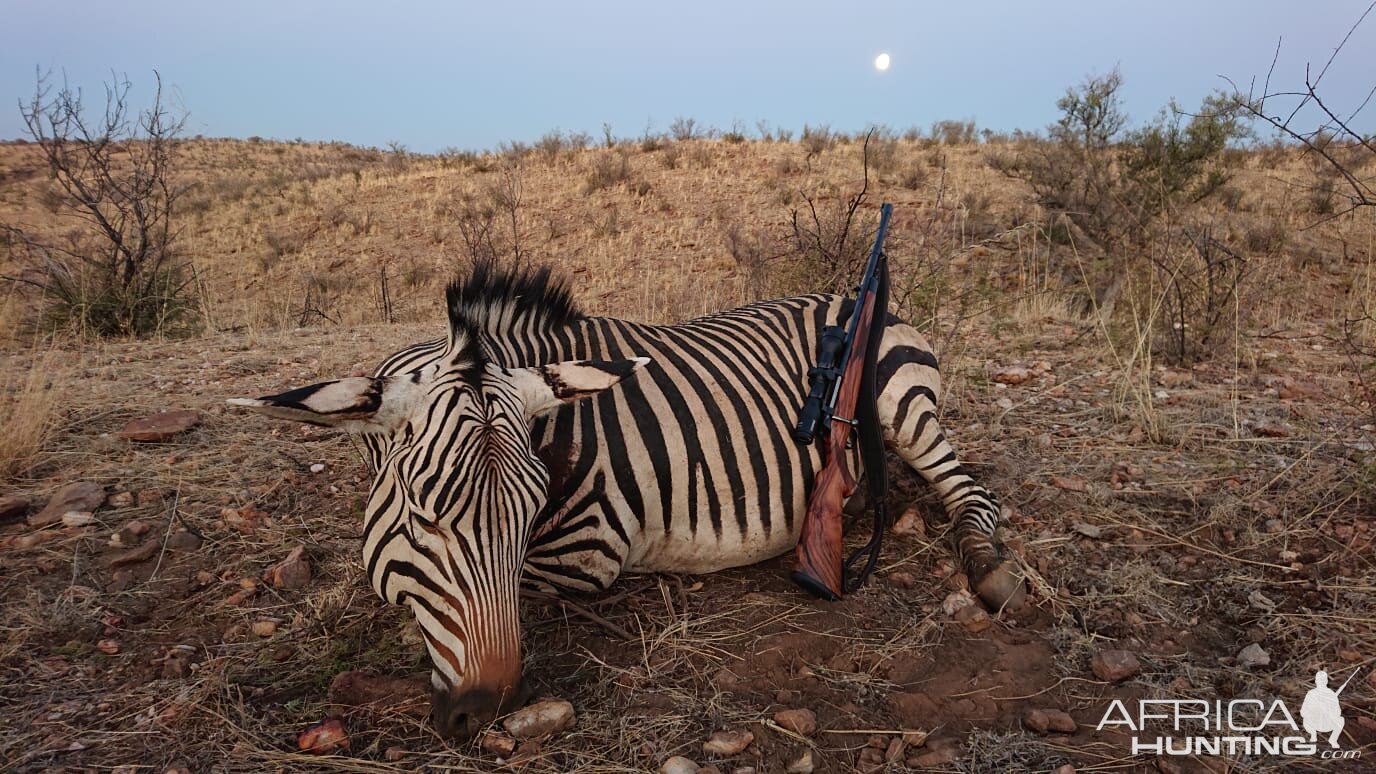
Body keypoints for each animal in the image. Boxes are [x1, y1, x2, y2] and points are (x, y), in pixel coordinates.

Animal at [228, 260, 1023, 732]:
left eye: (528, 515)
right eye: (425, 519)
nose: (484, 709)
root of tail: (850, 295)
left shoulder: (592, 549)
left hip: (904, 402)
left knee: (971, 493)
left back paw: (990, 569)